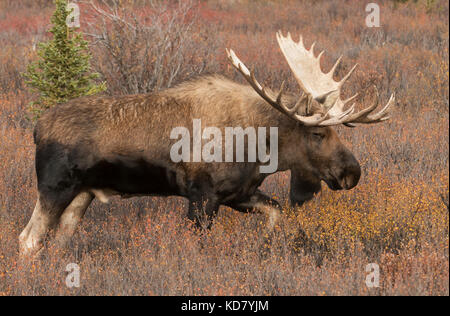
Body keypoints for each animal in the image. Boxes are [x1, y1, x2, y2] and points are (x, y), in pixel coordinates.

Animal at [20, 32, 394, 256]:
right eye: (318, 133)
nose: (352, 172)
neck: (261, 146)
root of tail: (37, 128)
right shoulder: (202, 197)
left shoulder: (239, 194)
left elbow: (277, 216)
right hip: (55, 187)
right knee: (28, 239)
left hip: (82, 194)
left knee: (57, 240)